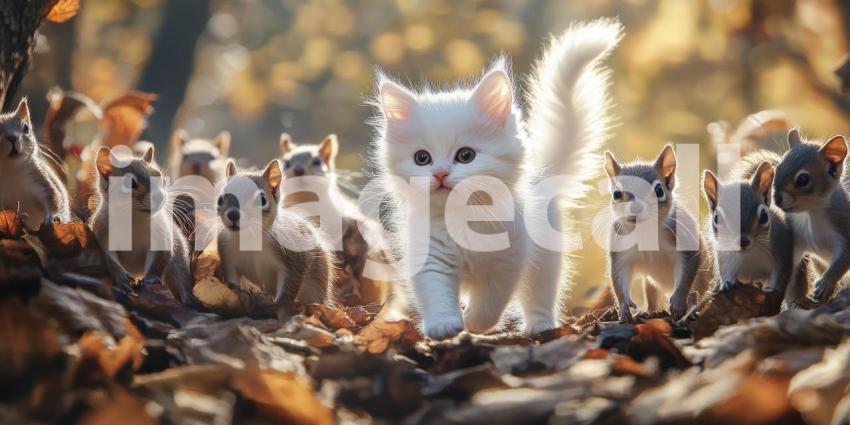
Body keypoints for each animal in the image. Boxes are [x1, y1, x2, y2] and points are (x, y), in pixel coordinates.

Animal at [0, 98, 70, 228]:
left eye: (26, 128)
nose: (12, 137)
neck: (10, 169)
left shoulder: (41, 179)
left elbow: (54, 198)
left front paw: (51, 217)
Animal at [88, 145, 196, 306]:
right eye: (130, 183)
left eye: (160, 177)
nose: (160, 197)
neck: (134, 219)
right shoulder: (102, 234)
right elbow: (109, 258)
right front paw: (120, 276)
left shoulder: (161, 236)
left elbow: (159, 259)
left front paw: (150, 278)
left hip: (178, 265)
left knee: (180, 281)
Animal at [216, 159, 334, 320]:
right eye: (221, 198)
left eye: (262, 199)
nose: (233, 215)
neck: (250, 238)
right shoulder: (228, 256)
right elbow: (233, 284)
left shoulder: (292, 260)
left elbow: (287, 293)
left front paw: (284, 315)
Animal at [604, 145, 715, 322]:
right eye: (616, 194)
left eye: (659, 190)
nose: (636, 208)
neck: (645, 231)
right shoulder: (621, 252)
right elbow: (619, 277)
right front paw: (625, 306)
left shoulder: (685, 245)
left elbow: (686, 274)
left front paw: (678, 301)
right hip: (650, 284)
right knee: (652, 297)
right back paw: (647, 312)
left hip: (702, 279)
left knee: (696, 294)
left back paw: (689, 309)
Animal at [773, 129, 850, 302]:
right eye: (777, 168)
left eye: (803, 179)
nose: (776, 198)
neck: (810, 214)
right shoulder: (796, 239)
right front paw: (791, 301)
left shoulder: (843, 228)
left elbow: (842, 261)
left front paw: (826, 284)